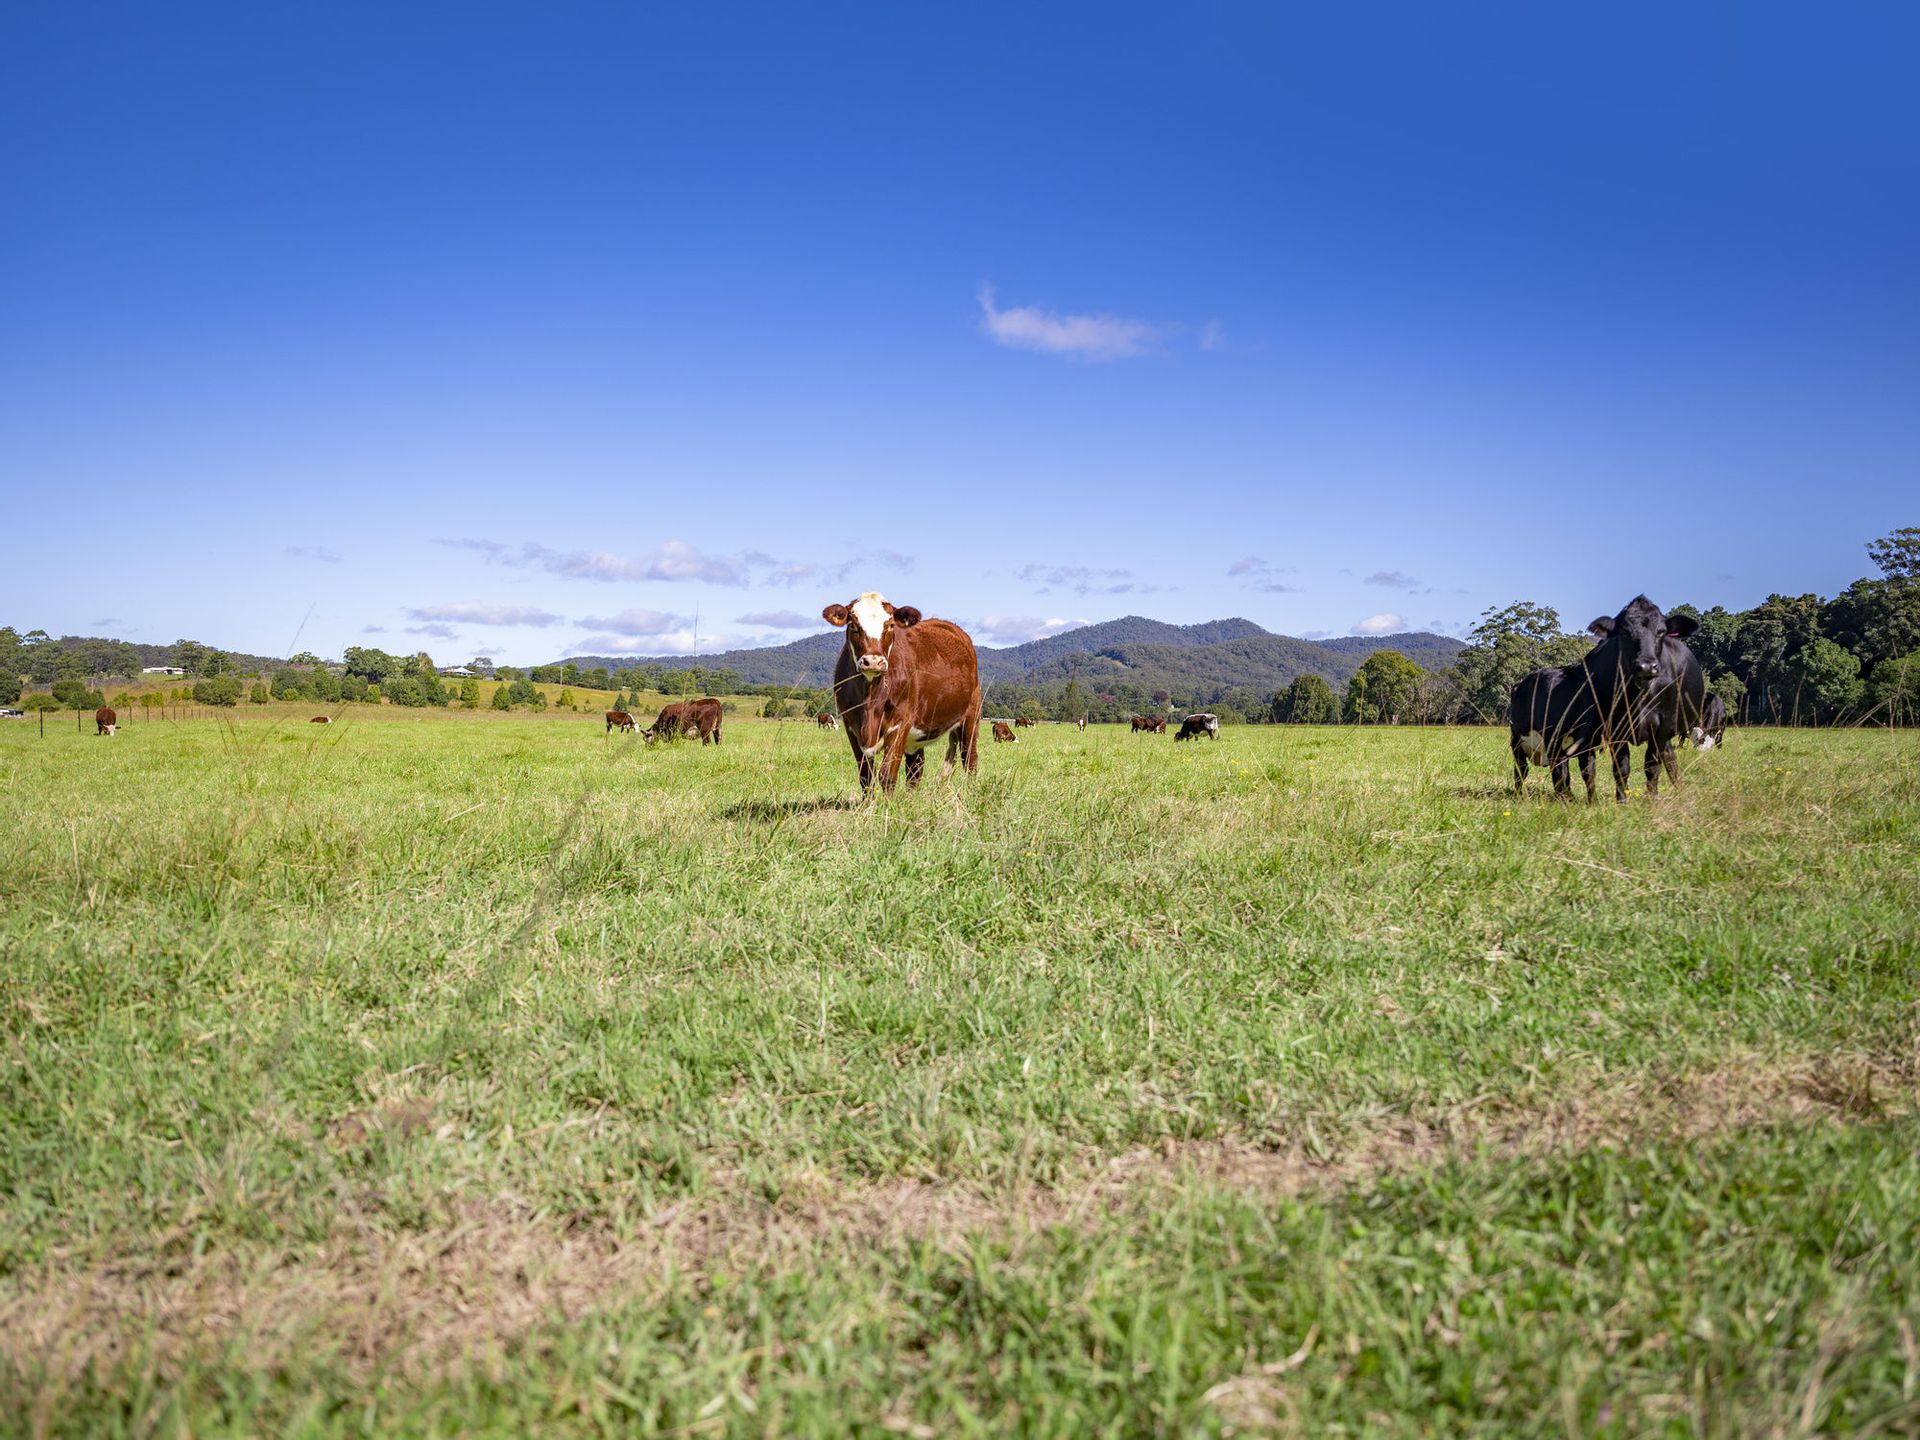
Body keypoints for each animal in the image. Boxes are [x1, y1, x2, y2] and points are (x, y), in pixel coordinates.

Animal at [824, 592, 982, 792]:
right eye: (853, 624)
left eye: (891, 625)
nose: (873, 662)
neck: (870, 701)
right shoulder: (851, 725)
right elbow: (866, 778)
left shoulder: (900, 722)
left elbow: (887, 776)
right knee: (916, 768)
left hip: (971, 718)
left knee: (969, 758)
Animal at [1509, 595, 1700, 801]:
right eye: (1624, 632)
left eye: (1662, 631)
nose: (1647, 666)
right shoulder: (1561, 740)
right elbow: (1567, 775)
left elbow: (1589, 772)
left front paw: (1591, 802)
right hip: (1517, 742)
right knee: (1521, 770)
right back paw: (1520, 796)